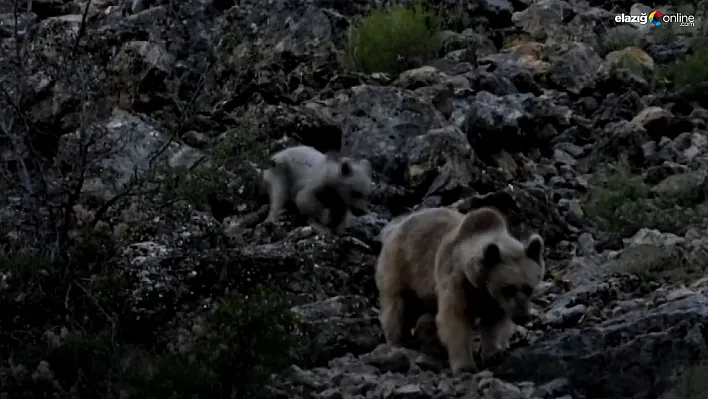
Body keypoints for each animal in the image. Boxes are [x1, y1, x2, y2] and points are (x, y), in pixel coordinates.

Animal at [374, 208, 544, 374]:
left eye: (529, 288)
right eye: (508, 288)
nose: (522, 317)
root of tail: (397, 227)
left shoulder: (493, 299)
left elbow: (493, 321)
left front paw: (493, 353)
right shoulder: (456, 281)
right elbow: (455, 320)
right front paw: (464, 365)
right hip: (401, 267)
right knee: (399, 307)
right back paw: (400, 342)